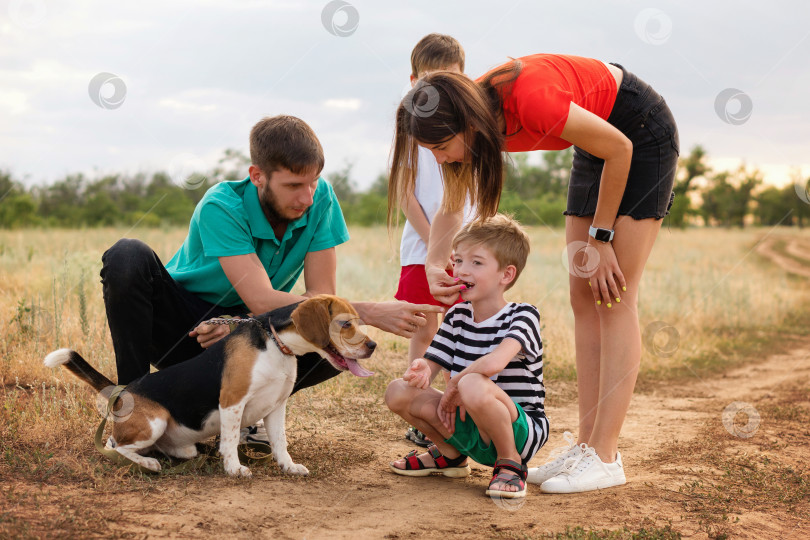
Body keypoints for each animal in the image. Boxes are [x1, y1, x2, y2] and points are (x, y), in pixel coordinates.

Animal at [43, 296, 372, 476]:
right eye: (345, 324)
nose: (373, 346)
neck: (275, 343)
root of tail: (123, 393)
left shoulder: (277, 407)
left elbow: (280, 443)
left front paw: (288, 466)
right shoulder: (232, 401)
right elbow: (230, 441)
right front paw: (234, 469)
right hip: (154, 420)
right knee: (115, 446)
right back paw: (146, 463)